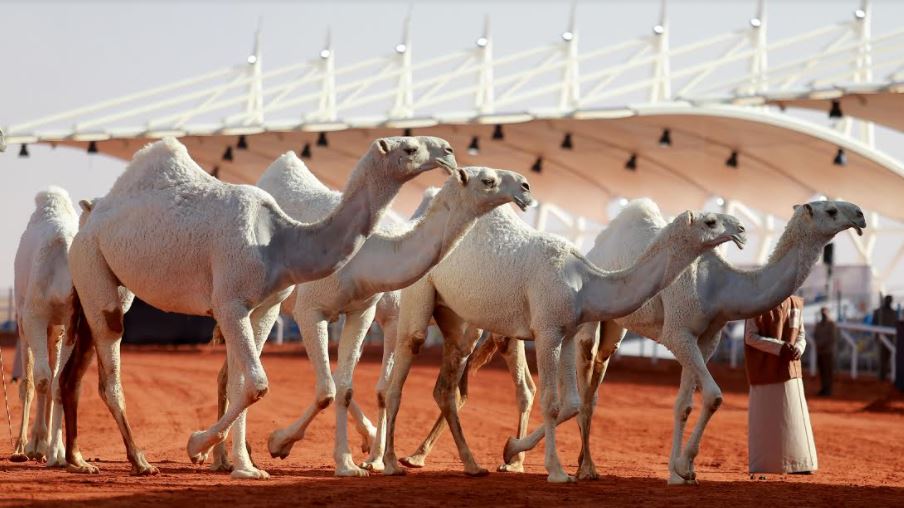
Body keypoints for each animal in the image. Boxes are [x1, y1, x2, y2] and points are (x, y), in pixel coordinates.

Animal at [61, 134, 460, 476]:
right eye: (409, 148)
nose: (448, 151)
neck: (279, 241)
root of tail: (92, 211)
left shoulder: (265, 306)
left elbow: (246, 383)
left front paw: (245, 465)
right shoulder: (233, 302)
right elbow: (258, 383)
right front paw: (199, 445)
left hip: (106, 280)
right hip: (92, 263)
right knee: (109, 367)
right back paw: (139, 461)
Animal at [380, 200, 740, 482]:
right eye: (710, 221)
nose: (739, 228)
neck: (585, 280)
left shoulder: (566, 333)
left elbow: (571, 403)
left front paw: (511, 450)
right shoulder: (547, 329)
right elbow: (551, 402)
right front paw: (555, 471)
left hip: (456, 317)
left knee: (446, 385)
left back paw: (469, 464)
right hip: (419, 289)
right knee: (404, 365)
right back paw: (391, 463)